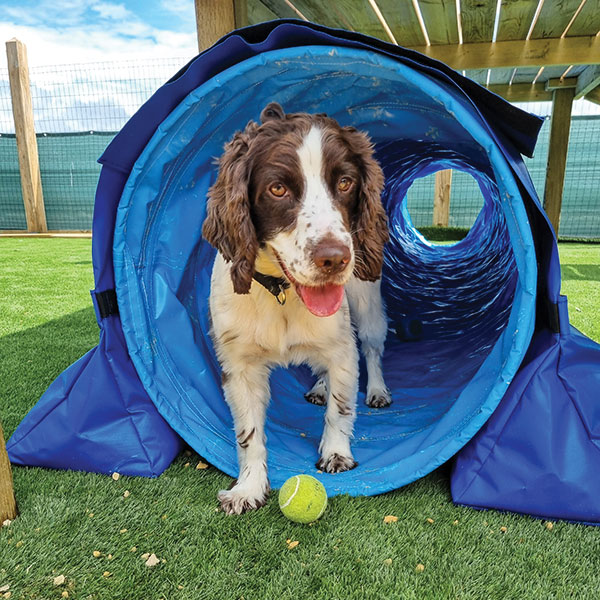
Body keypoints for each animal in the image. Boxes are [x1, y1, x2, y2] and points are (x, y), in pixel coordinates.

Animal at [202, 101, 390, 512]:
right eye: (278, 188)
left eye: (345, 183)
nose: (335, 258)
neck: (283, 292)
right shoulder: (239, 366)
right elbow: (248, 433)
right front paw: (248, 488)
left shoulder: (341, 348)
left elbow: (340, 406)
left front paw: (336, 453)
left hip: (367, 304)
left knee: (372, 349)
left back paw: (378, 390)